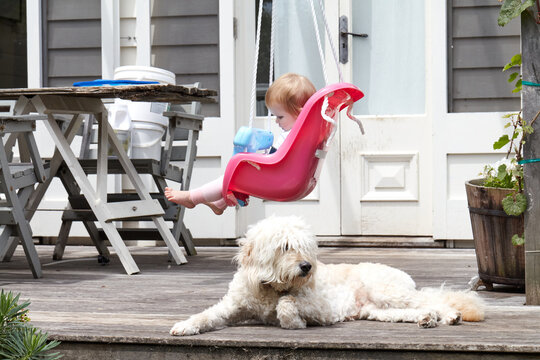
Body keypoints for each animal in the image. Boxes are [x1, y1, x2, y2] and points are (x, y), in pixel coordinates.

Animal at [170, 215, 486, 336]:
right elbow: (207, 315)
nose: (307, 267)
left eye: (305, 247)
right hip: (378, 310)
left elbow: (287, 305)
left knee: (435, 301)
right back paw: (427, 319)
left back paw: (449, 316)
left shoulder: (321, 308)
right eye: (285, 247)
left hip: (389, 292)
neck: (270, 287)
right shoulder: (232, 306)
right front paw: (185, 326)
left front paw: (294, 322)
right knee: (414, 310)